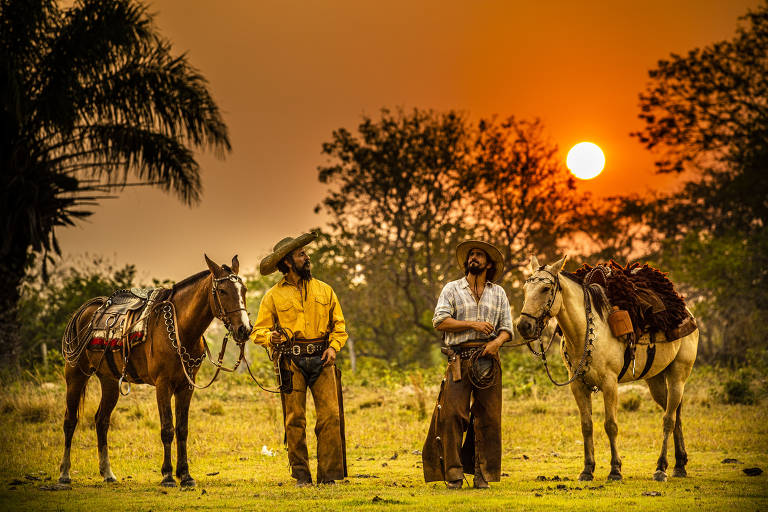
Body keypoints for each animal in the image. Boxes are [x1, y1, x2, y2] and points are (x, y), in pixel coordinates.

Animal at [60, 256, 252, 488]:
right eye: (222, 291)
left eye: (244, 289)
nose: (244, 329)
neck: (180, 328)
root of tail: (87, 310)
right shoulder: (163, 385)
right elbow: (167, 429)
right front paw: (168, 475)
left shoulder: (186, 386)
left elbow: (182, 430)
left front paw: (186, 475)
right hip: (75, 375)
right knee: (70, 420)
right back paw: (65, 474)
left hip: (109, 381)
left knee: (101, 421)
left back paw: (108, 473)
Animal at [512, 256, 700, 484]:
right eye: (525, 288)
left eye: (546, 288)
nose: (524, 326)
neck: (587, 332)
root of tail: (687, 313)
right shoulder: (578, 386)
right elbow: (586, 425)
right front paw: (587, 470)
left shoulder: (610, 384)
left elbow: (611, 425)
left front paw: (615, 470)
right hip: (655, 380)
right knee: (675, 414)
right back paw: (680, 465)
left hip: (678, 375)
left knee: (668, 419)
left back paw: (661, 467)